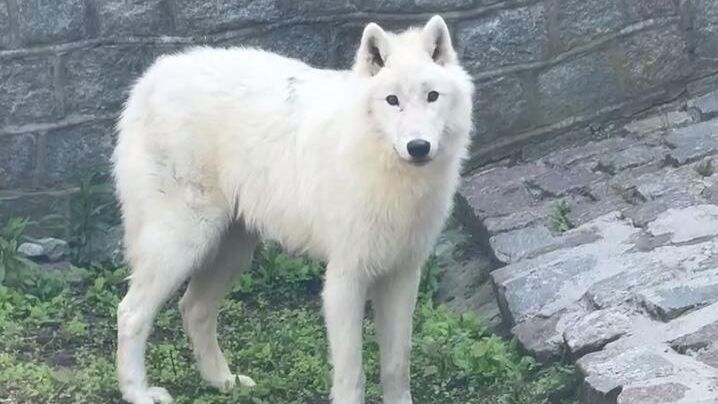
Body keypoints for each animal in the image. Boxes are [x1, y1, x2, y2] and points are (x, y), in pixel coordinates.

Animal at [112, 15, 474, 404]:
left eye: (431, 96)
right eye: (392, 101)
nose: (418, 147)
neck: (387, 167)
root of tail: (150, 78)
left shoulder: (402, 276)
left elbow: (397, 365)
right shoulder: (345, 279)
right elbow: (353, 375)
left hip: (232, 251)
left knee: (193, 309)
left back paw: (223, 381)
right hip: (182, 244)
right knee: (130, 313)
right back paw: (139, 392)